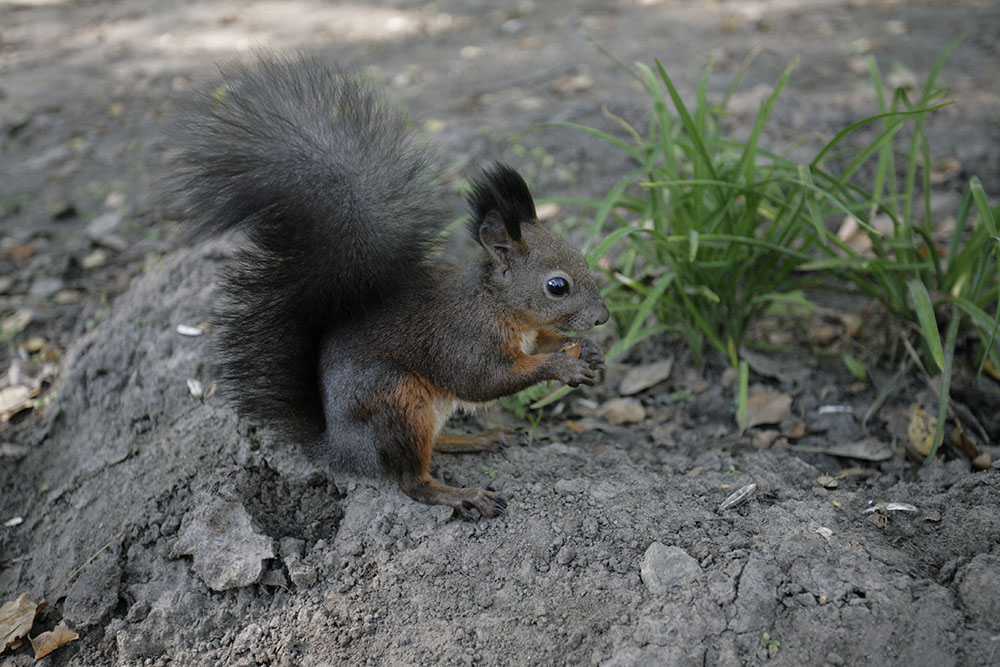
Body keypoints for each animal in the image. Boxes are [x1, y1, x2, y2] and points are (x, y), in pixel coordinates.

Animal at [172, 53, 608, 520]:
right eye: (557, 286)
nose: (603, 318)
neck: (498, 305)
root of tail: (341, 450)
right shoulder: (463, 340)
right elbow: (482, 381)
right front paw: (562, 366)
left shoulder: (527, 334)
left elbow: (543, 343)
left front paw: (586, 350)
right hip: (396, 400)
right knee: (412, 480)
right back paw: (461, 494)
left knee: (432, 449)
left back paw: (478, 439)